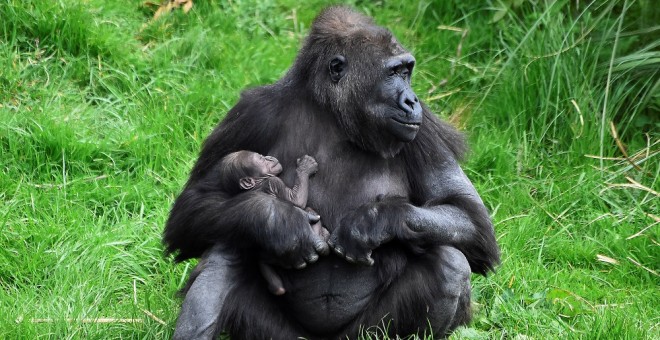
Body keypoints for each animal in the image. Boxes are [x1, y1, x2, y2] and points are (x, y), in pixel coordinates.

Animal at [217, 151, 330, 294]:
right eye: (261, 159)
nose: (268, 158)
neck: (258, 182)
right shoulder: (274, 182)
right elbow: (296, 200)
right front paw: (305, 167)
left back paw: (275, 285)